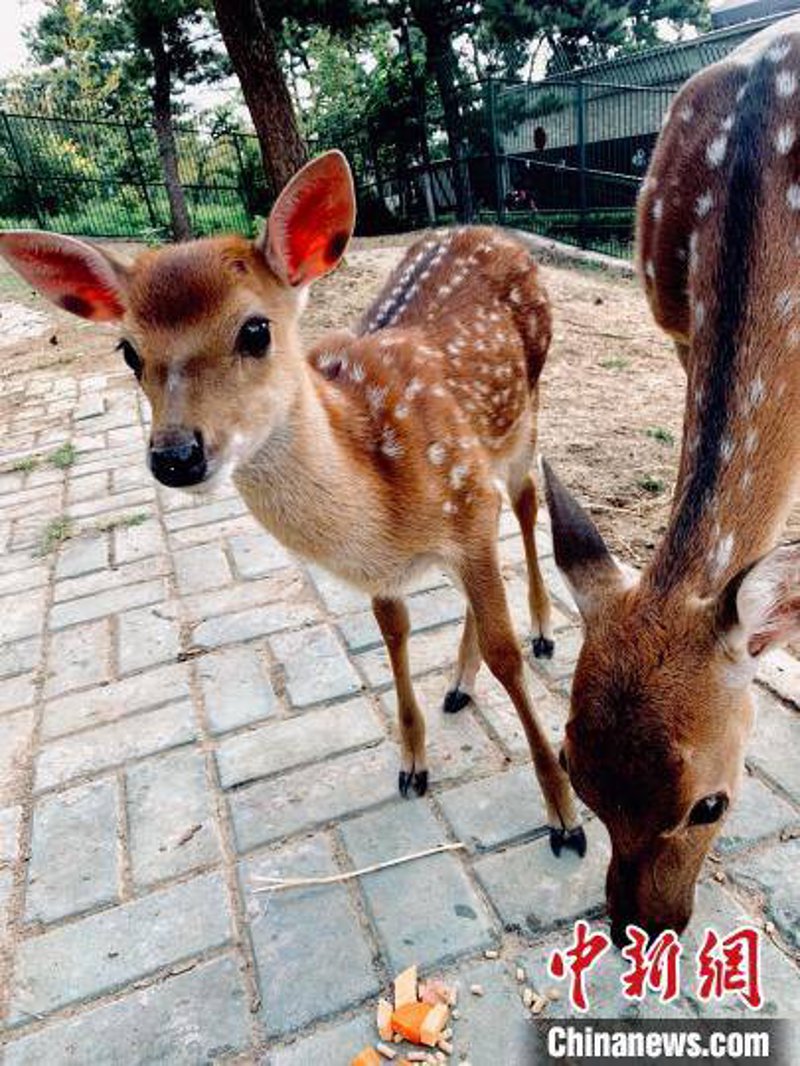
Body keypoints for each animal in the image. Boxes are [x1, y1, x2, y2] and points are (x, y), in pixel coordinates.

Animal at [0, 150, 586, 857]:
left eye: (256, 330)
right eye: (128, 351)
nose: (175, 456)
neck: (385, 508)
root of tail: (492, 231)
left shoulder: (465, 496)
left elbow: (506, 655)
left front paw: (564, 816)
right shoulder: (392, 564)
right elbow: (394, 633)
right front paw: (412, 764)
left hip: (525, 413)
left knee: (526, 501)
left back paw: (542, 632)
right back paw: (457, 685)